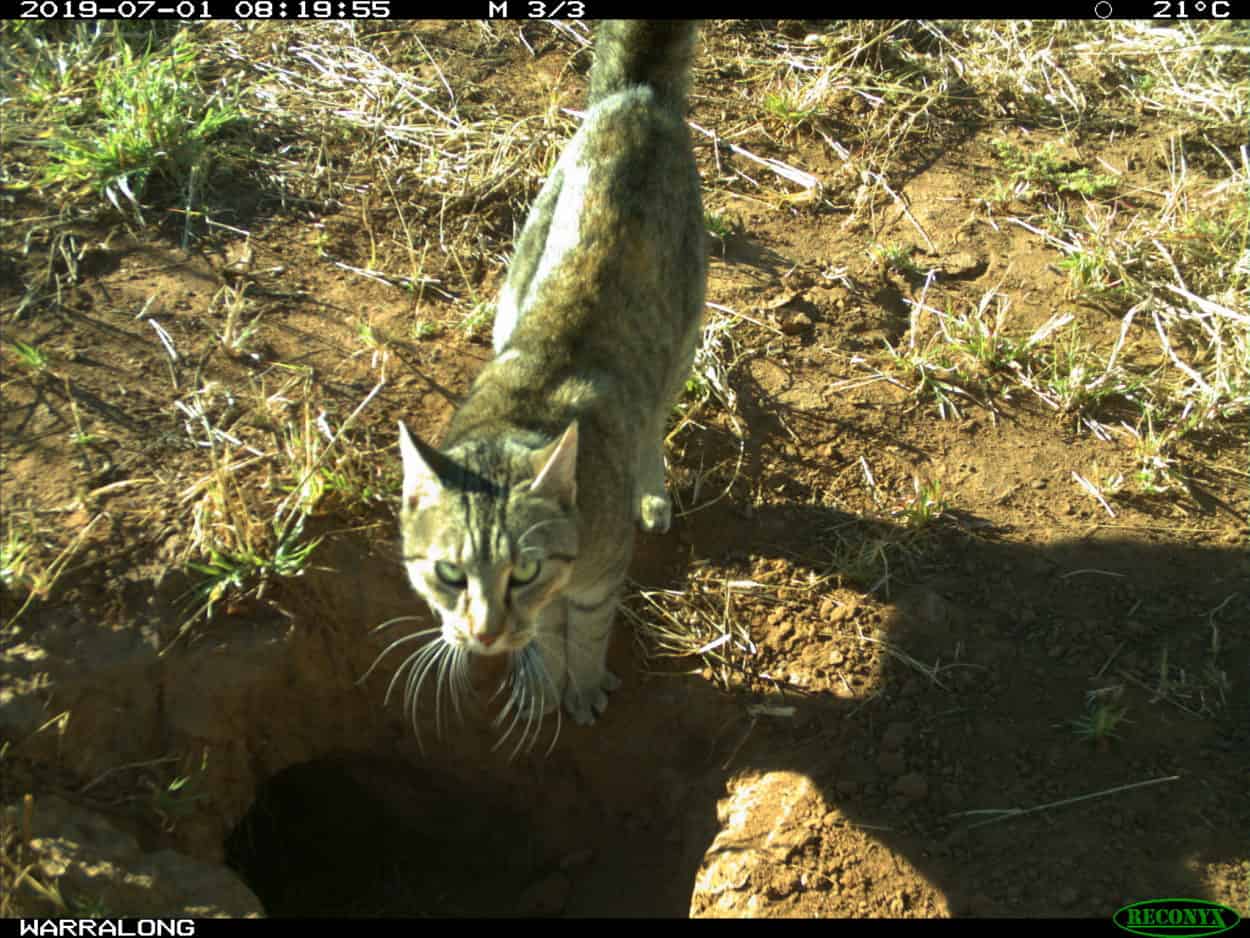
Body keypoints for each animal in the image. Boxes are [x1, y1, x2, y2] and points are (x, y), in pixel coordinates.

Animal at [392, 18, 705, 745]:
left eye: (525, 570)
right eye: (449, 573)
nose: (482, 634)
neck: (517, 419)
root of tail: (635, 97)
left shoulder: (596, 583)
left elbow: (583, 637)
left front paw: (580, 687)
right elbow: (545, 642)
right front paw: (537, 682)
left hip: (685, 329)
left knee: (654, 420)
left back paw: (650, 489)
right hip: (515, 279)